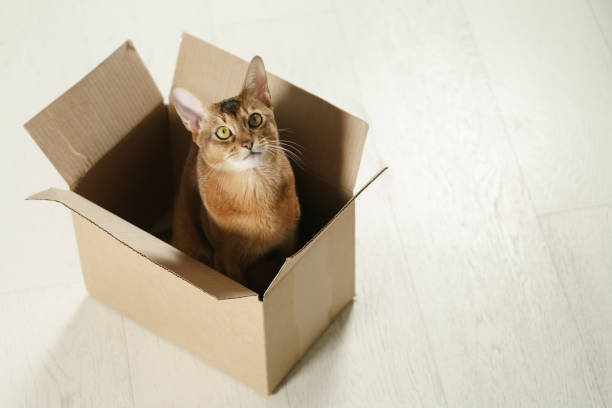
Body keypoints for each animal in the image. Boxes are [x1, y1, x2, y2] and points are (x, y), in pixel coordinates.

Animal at [171, 55, 300, 286]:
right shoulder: (226, 258)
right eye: (223, 132)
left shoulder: (288, 242)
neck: (255, 187)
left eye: (255, 119)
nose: (248, 143)